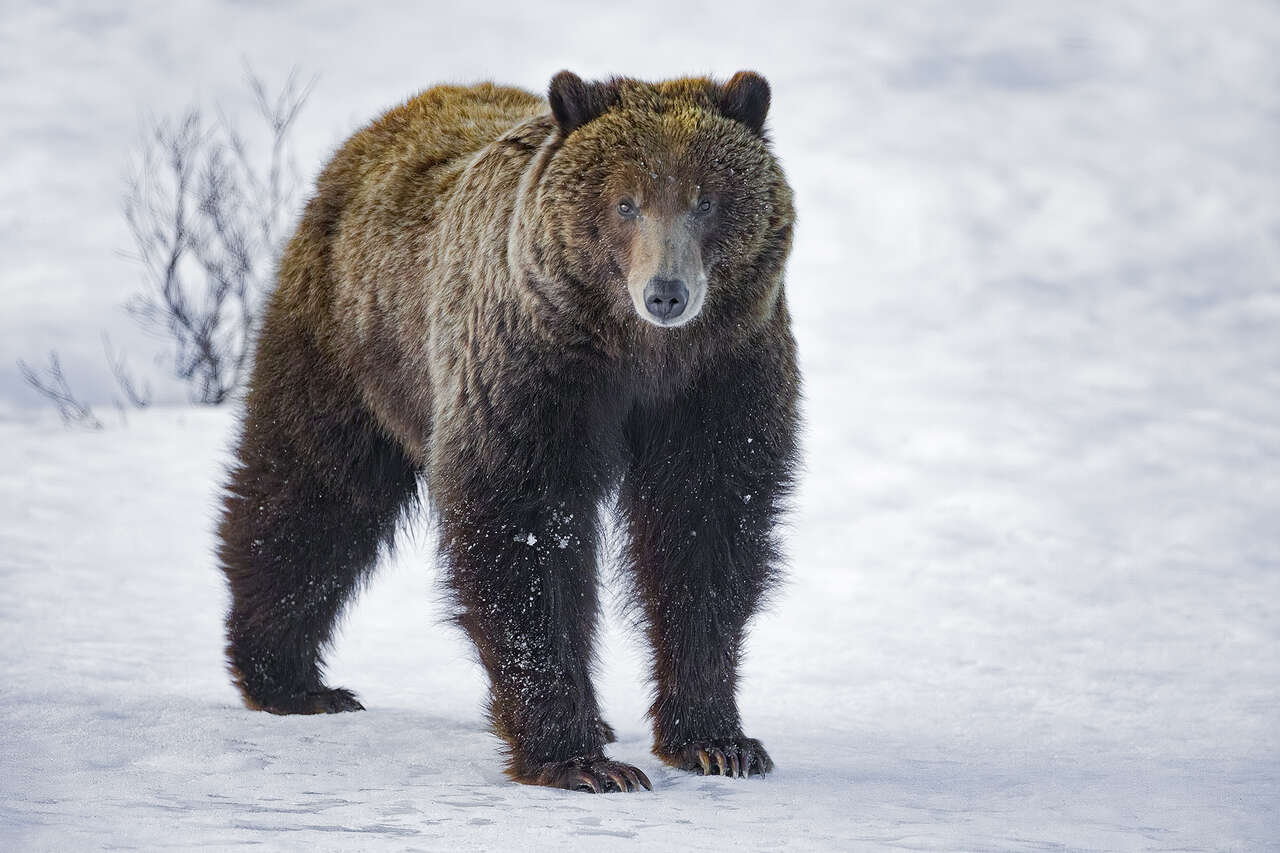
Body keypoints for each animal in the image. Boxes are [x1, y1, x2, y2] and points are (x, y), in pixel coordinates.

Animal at [216, 70, 799, 793]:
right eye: (625, 202)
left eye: (707, 199)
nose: (666, 292)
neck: (635, 356)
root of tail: (394, 116)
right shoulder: (530, 372)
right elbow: (525, 532)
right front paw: (581, 760)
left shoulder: (718, 380)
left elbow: (705, 531)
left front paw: (718, 740)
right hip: (351, 343)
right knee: (310, 491)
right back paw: (291, 679)